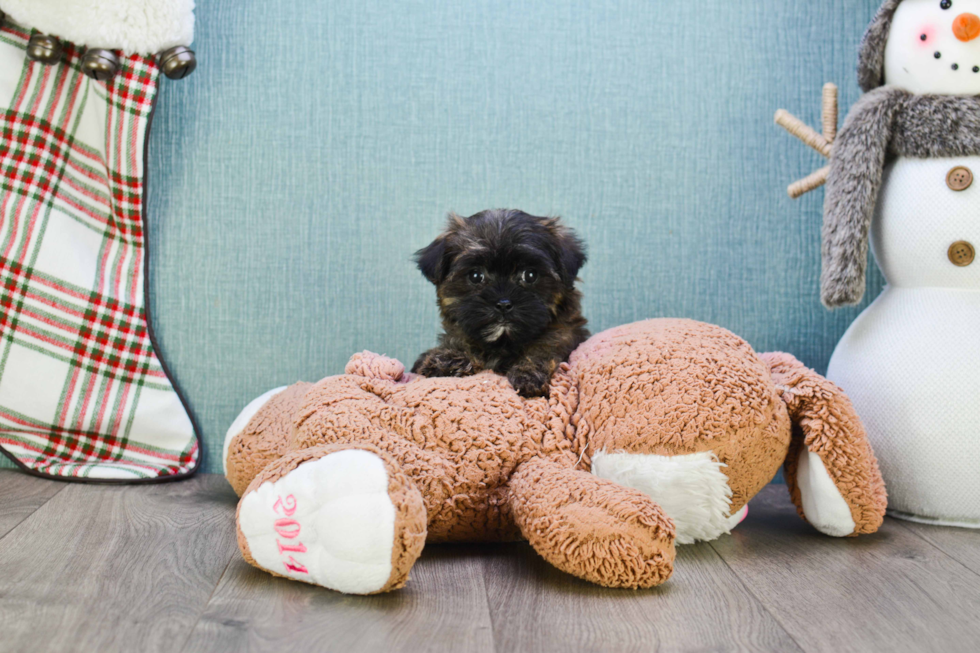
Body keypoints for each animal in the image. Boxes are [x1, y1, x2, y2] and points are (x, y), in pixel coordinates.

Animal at [414, 208, 588, 398]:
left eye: (530, 275)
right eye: (476, 276)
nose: (503, 304)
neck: (503, 342)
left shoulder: (565, 332)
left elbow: (546, 346)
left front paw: (529, 372)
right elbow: (460, 339)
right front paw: (449, 359)